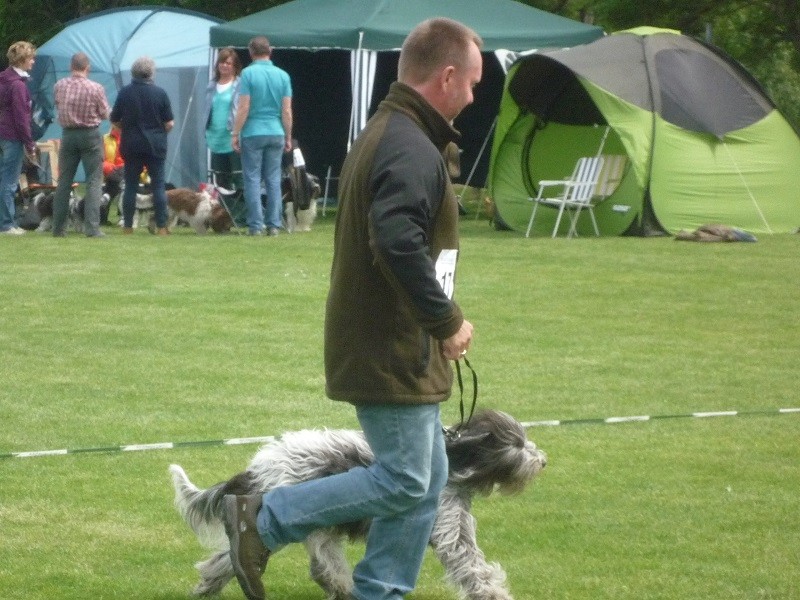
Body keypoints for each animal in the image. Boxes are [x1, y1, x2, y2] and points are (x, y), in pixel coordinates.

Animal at [168, 410, 544, 596]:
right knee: (320, 562)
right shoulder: (450, 531)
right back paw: (339, 585)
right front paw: (494, 594)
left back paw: (207, 585)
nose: (543, 460)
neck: (455, 460)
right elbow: (472, 567)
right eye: (517, 444)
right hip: (310, 517)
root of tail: (259, 466)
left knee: (230, 555)